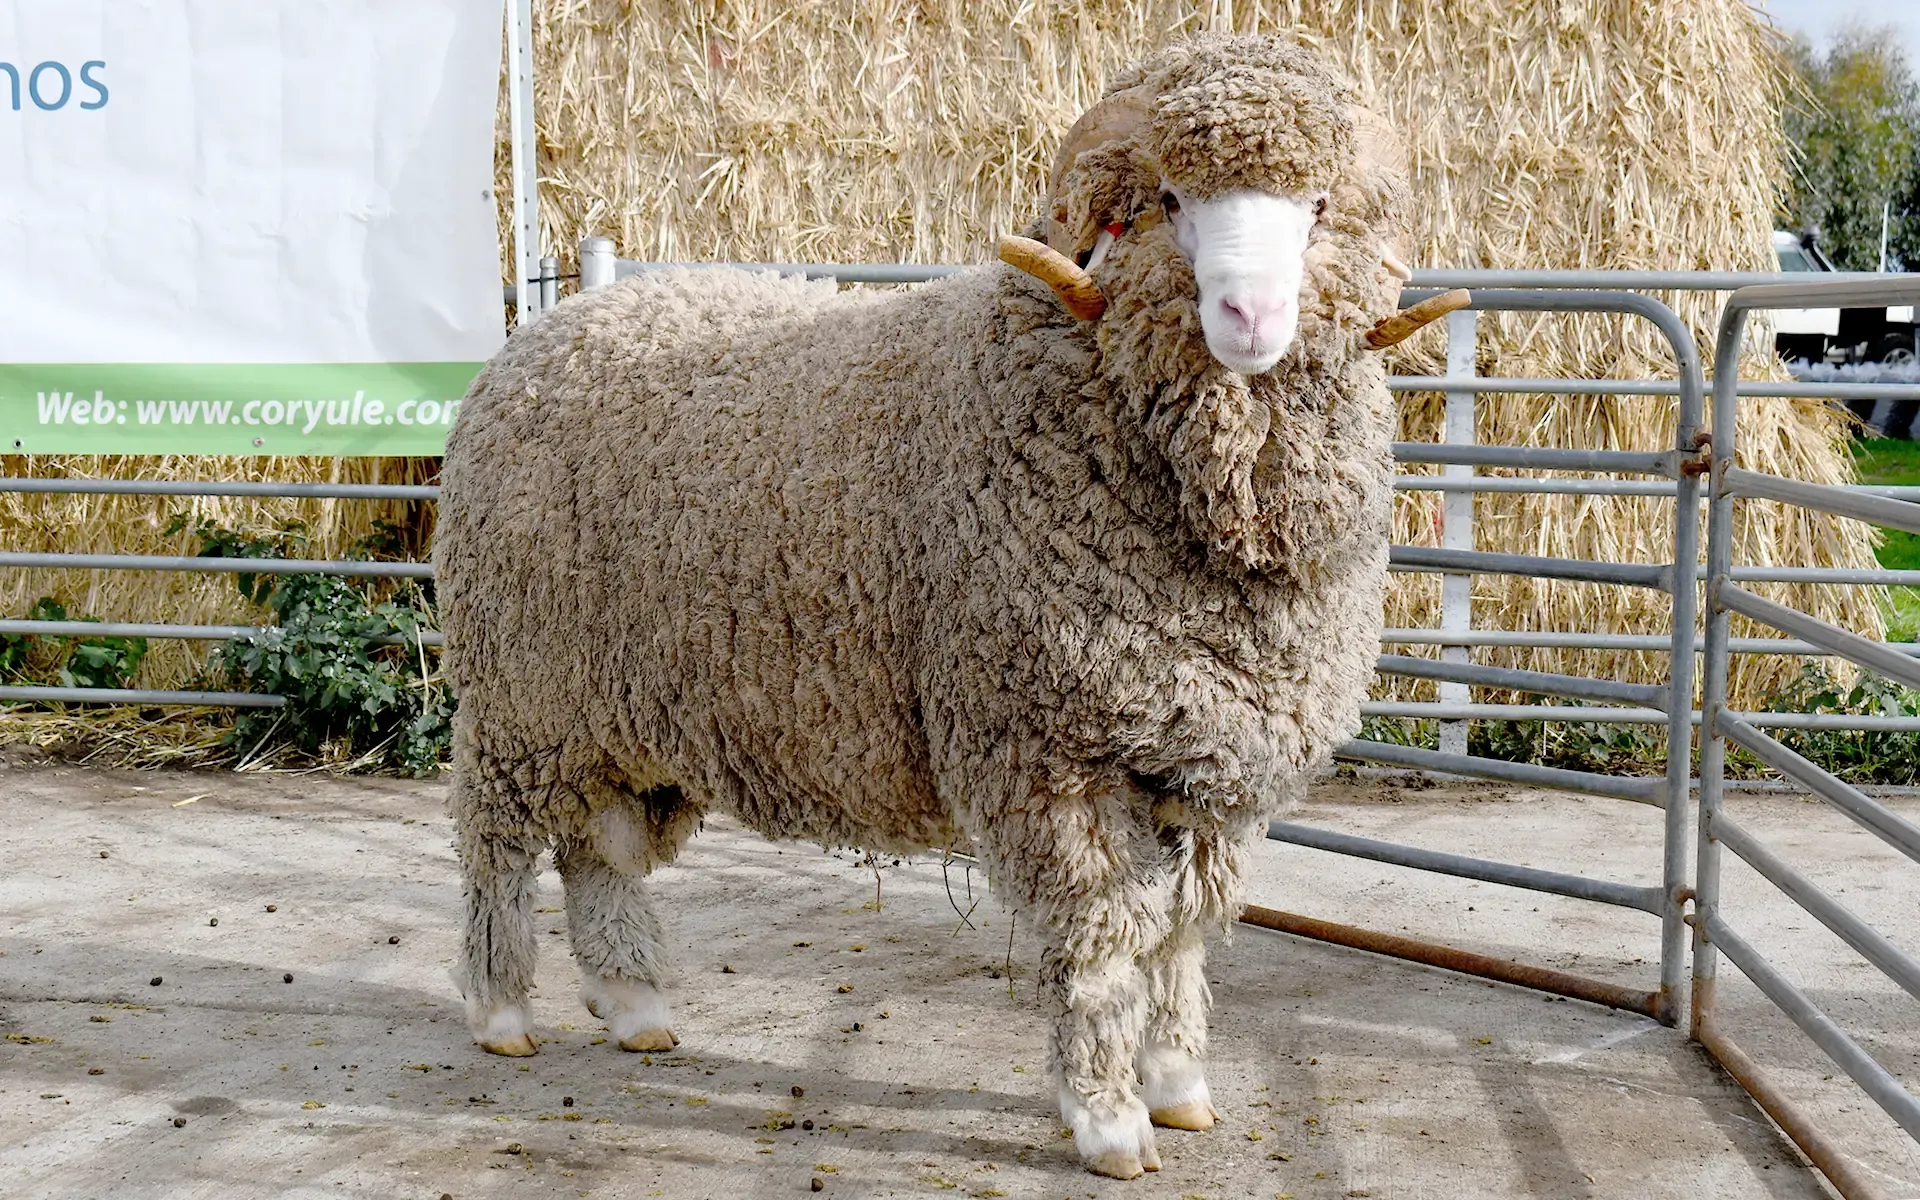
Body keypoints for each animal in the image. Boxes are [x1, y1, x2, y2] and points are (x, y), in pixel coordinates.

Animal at [435, 33, 1416, 1180]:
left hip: (623, 715)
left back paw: (634, 1005)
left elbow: (1176, 938)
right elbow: (1101, 941)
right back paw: (501, 1011)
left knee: (596, 853)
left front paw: (1177, 1085)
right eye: (1168, 201)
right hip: (521, 693)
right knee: (499, 842)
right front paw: (1107, 1119)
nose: (1251, 319)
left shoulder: (1207, 768)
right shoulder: (1051, 754)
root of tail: (542, 334)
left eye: (1317, 206)